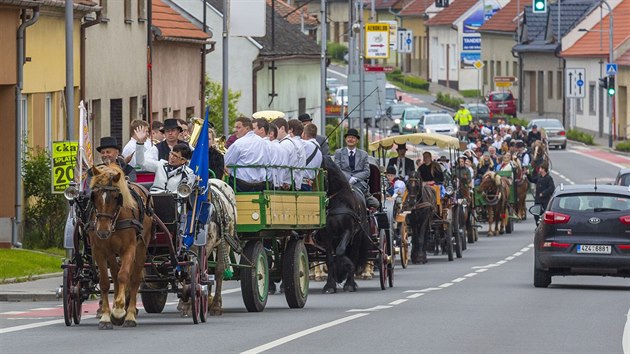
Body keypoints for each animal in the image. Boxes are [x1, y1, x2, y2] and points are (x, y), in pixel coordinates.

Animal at [89, 165, 154, 330]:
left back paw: (129, 314)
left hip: (141, 248)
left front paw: (119, 310)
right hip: (112, 253)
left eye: (115, 197)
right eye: (94, 195)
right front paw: (106, 316)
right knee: (115, 275)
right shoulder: (99, 251)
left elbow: (124, 275)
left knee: (135, 279)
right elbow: (105, 282)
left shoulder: (129, 249)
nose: (102, 231)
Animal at [318, 156, 372, 294]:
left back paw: (350, 283)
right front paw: (330, 285)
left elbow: (341, 251)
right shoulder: (327, 235)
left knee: (353, 254)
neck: (339, 202)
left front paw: (346, 267)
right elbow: (330, 258)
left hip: (357, 236)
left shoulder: (348, 231)